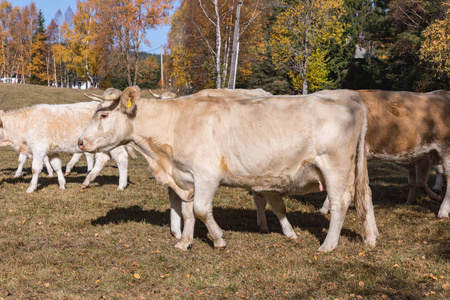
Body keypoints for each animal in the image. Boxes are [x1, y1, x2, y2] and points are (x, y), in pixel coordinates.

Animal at [0, 98, 130, 192]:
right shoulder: (51, 151)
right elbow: (56, 165)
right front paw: (62, 184)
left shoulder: (39, 148)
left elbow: (35, 168)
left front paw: (31, 188)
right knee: (102, 159)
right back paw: (87, 181)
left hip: (114, 144)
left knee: (122, 158)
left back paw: (121, 185)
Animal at [79, 86, 378, 253]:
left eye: (103, 114)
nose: (81, 142)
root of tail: (351, 101)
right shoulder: (186, 177)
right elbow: (188, 212)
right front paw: (185, 242)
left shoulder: (206, 174)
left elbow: (201, 210)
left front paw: (219, 240)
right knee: (365, 197)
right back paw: (370, 239)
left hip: (335, 166)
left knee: (341, 202)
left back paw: (328, 246)